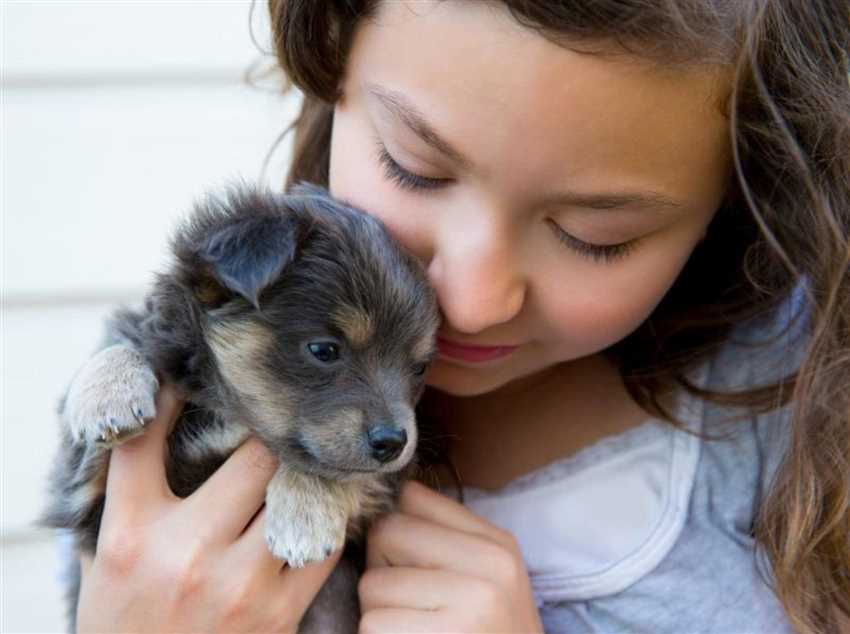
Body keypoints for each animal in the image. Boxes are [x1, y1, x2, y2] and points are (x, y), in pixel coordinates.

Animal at [41, 180, 438, 628]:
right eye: (324, 349)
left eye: (419, 367)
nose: (393, 442)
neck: (230, 411)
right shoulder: (84, 494)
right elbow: (124, 341)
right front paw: (108, 396)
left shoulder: (387, 479)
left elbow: (326, 465)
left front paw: (304, 516)